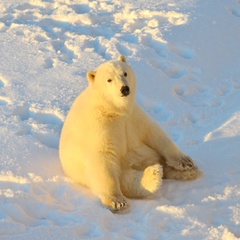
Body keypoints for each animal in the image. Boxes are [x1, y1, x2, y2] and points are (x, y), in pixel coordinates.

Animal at [59, 55, 202, 213]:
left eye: (125, 73)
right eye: (109, 80)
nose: (125, 89)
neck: (113, 109)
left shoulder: (133, 117)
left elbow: (154, 133)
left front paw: (185, 162)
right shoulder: (100, 126)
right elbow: (103, 157)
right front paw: (117, 202)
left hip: (145, 153)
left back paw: (189, 171)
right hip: (124, 168)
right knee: (130, 180)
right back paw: (154, 173)